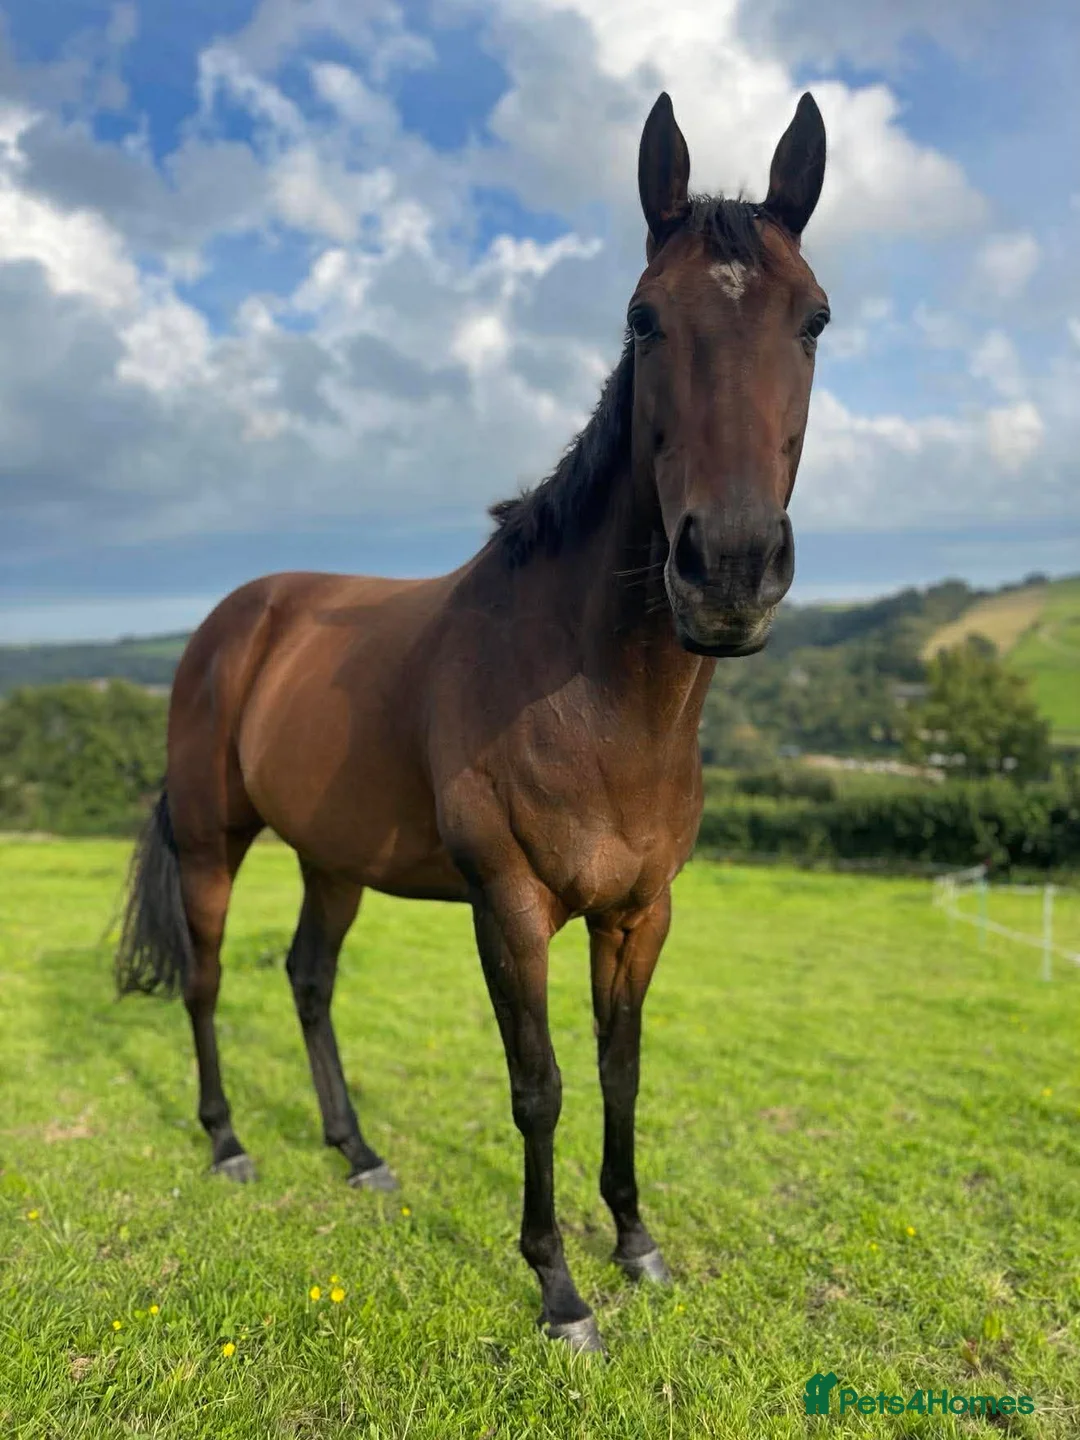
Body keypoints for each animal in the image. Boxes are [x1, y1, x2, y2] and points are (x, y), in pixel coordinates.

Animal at [116, 90, 829, 1354]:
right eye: (645, 320)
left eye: (816, 322)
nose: (732, 570)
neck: (597, 698)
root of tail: (238, 618)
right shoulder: (512, 906)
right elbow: (539, 1084)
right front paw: (560, 1290)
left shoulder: (640, 913)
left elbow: (621, 1070)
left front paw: (636, 1243)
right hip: (210, 841)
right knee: (205, 981)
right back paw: (229, 1141)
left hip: (332, 859)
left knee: (308, 978)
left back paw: (357, 1153)